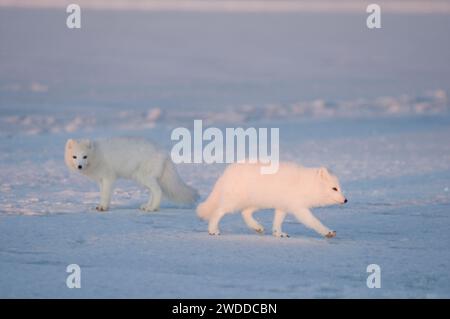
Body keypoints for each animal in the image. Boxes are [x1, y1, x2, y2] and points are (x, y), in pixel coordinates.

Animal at [64, 138, 198, 212]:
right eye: (74, 157)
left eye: (84, 156)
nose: (79, 166)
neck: (97, 154)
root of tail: (163, 152)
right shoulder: (101, 180)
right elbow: (102, 194)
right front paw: (101, 206)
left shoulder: (108, 178)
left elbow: (106, 195)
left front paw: (103, 208)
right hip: (143, 178)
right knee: (153, 192)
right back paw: (147, 206)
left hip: (144, 176)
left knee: (158, 191)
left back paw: (152, 208)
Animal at [197, 164, 348, 239]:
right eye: (334, 188)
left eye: (340, 188)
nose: (346, 200)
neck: (307, 185)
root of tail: (227, 171)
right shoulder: (298, 208)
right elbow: (314, 221)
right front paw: (327, 232)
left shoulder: (283, 206)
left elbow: (277, 222)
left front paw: (278, 234)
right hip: (234, 202)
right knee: (217, 212)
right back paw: (213, 230)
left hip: (257, 202)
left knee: (245, 213)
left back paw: (257, 227)